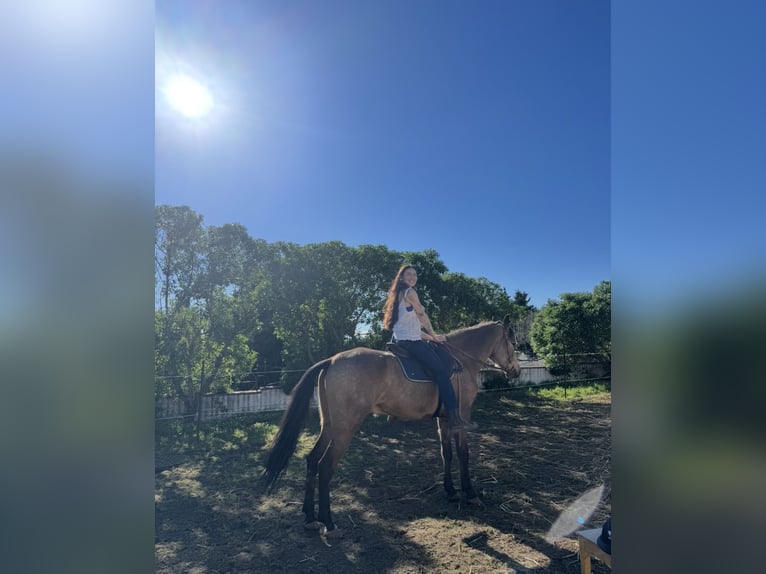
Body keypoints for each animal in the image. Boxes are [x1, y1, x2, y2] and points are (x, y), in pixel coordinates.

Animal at [261, 315, 520, 534]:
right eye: (514, 343)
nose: (516, 371)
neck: (462, 360)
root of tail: (332, 360)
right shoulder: (462, 415)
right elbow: (463, 454)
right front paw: (470, 493)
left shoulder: (445, 418)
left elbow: (446, 453)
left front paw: (451, 491)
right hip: (345, 428)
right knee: (325, 466)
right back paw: (328, 521)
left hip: (330, 426)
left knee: (312, 460)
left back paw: (309, 516)